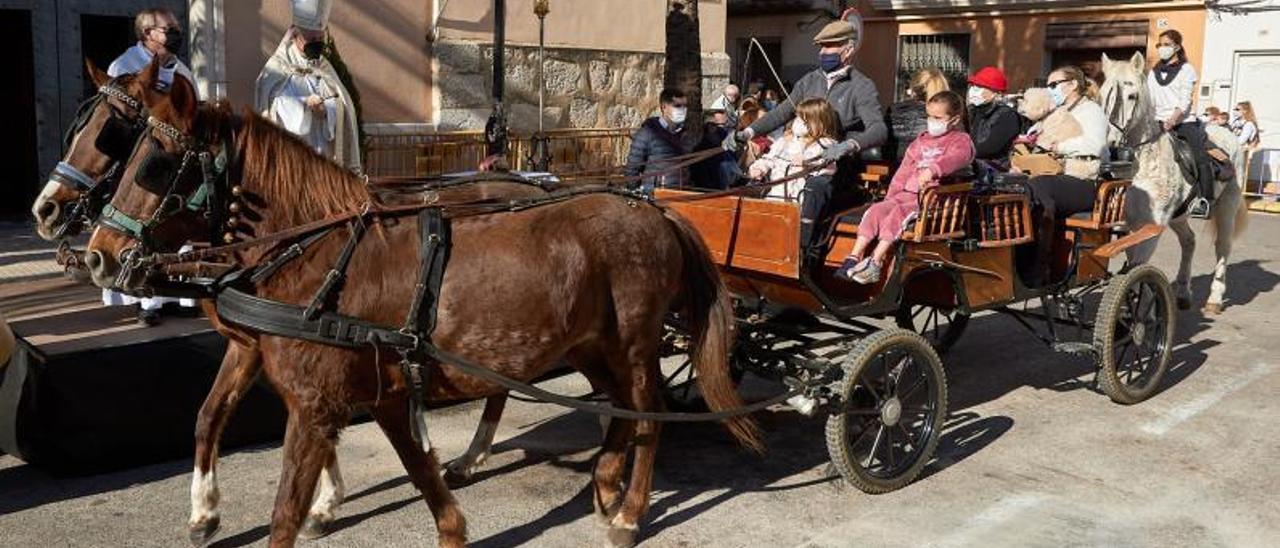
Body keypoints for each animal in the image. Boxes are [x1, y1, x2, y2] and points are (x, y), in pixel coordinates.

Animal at [82, 63, 757, 542]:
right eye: (123, 146)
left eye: (154, 162)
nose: (98, 254)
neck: (320, 252)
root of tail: (655, 209)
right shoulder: (372, 392)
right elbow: (420, 478)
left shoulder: (314, 405)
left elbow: (284, 516)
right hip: (593, 344)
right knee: (615, 407)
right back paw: (603, 478)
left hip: (635, 344)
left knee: (646, 414)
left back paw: (629, 509)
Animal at [1100, 53, 1249, 314]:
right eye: (1101, 94)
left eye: (1131, 95)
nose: (1109, 142)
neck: (1143, 164)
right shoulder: (1130, 225)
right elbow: (1133, 263)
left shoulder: (1152, 226)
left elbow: (1137, 267)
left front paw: (1143, 312)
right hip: (1179, 215)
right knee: (1189, 241)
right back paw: (1182, 293)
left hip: (1227, 207)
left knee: (1222, 246)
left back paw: (1214, 298)